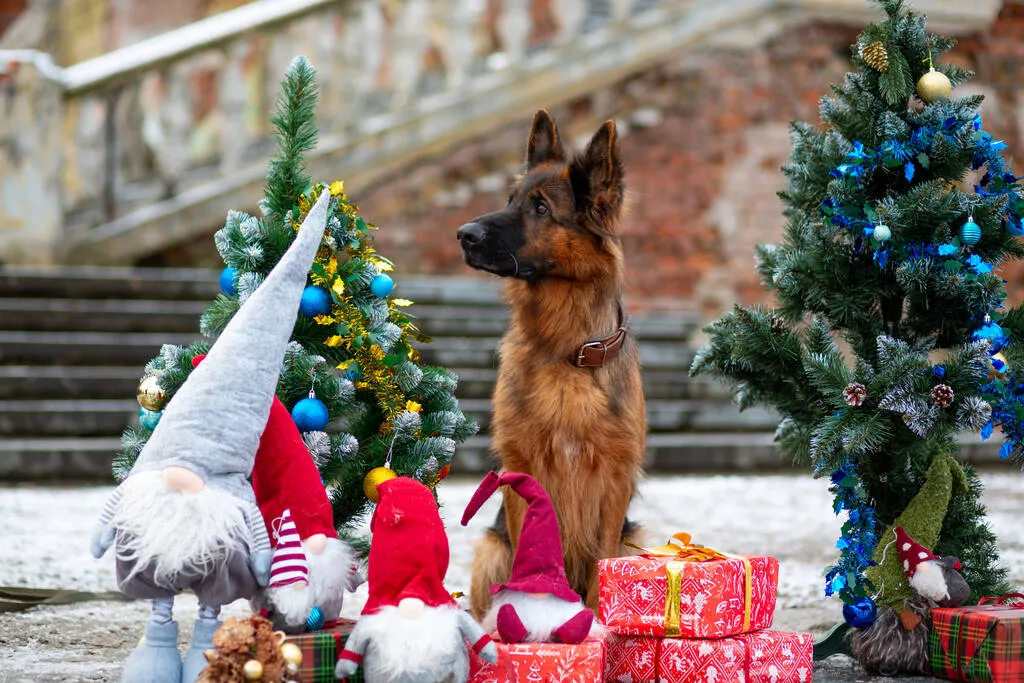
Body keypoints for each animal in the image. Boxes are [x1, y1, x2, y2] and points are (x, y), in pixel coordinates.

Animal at [458, 111, 647, 614]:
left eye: (541, 208)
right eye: (509, 200)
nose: (463, 235)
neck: (567, 353)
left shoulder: (614, 480)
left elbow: (601, 568)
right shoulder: (522, 471)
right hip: (489, 552)